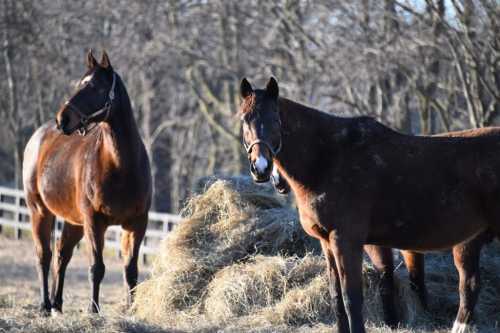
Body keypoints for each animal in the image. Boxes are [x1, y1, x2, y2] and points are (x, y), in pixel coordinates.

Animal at [23, 50, 151, 314]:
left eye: (94, 86)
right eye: (78, 85)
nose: (62, 119)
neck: (121, 167)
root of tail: (37, 138)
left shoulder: (137, 222)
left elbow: (131, 270)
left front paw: (131, 309)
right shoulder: (94, 221)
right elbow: (97, 268)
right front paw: (93, 310)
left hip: (74, 222)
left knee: (61, 254)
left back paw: (57, 304)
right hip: (39, 211)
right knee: (44, 255)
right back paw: (44, 304)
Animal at [239, 77, 500, 332]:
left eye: (275, 119)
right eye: (244, 120)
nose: (261, 168)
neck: (327, 159)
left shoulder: (346, 240)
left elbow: (351, 299)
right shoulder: (327, 242)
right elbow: (337, 297)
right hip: (470, 241)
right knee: (470, 286)